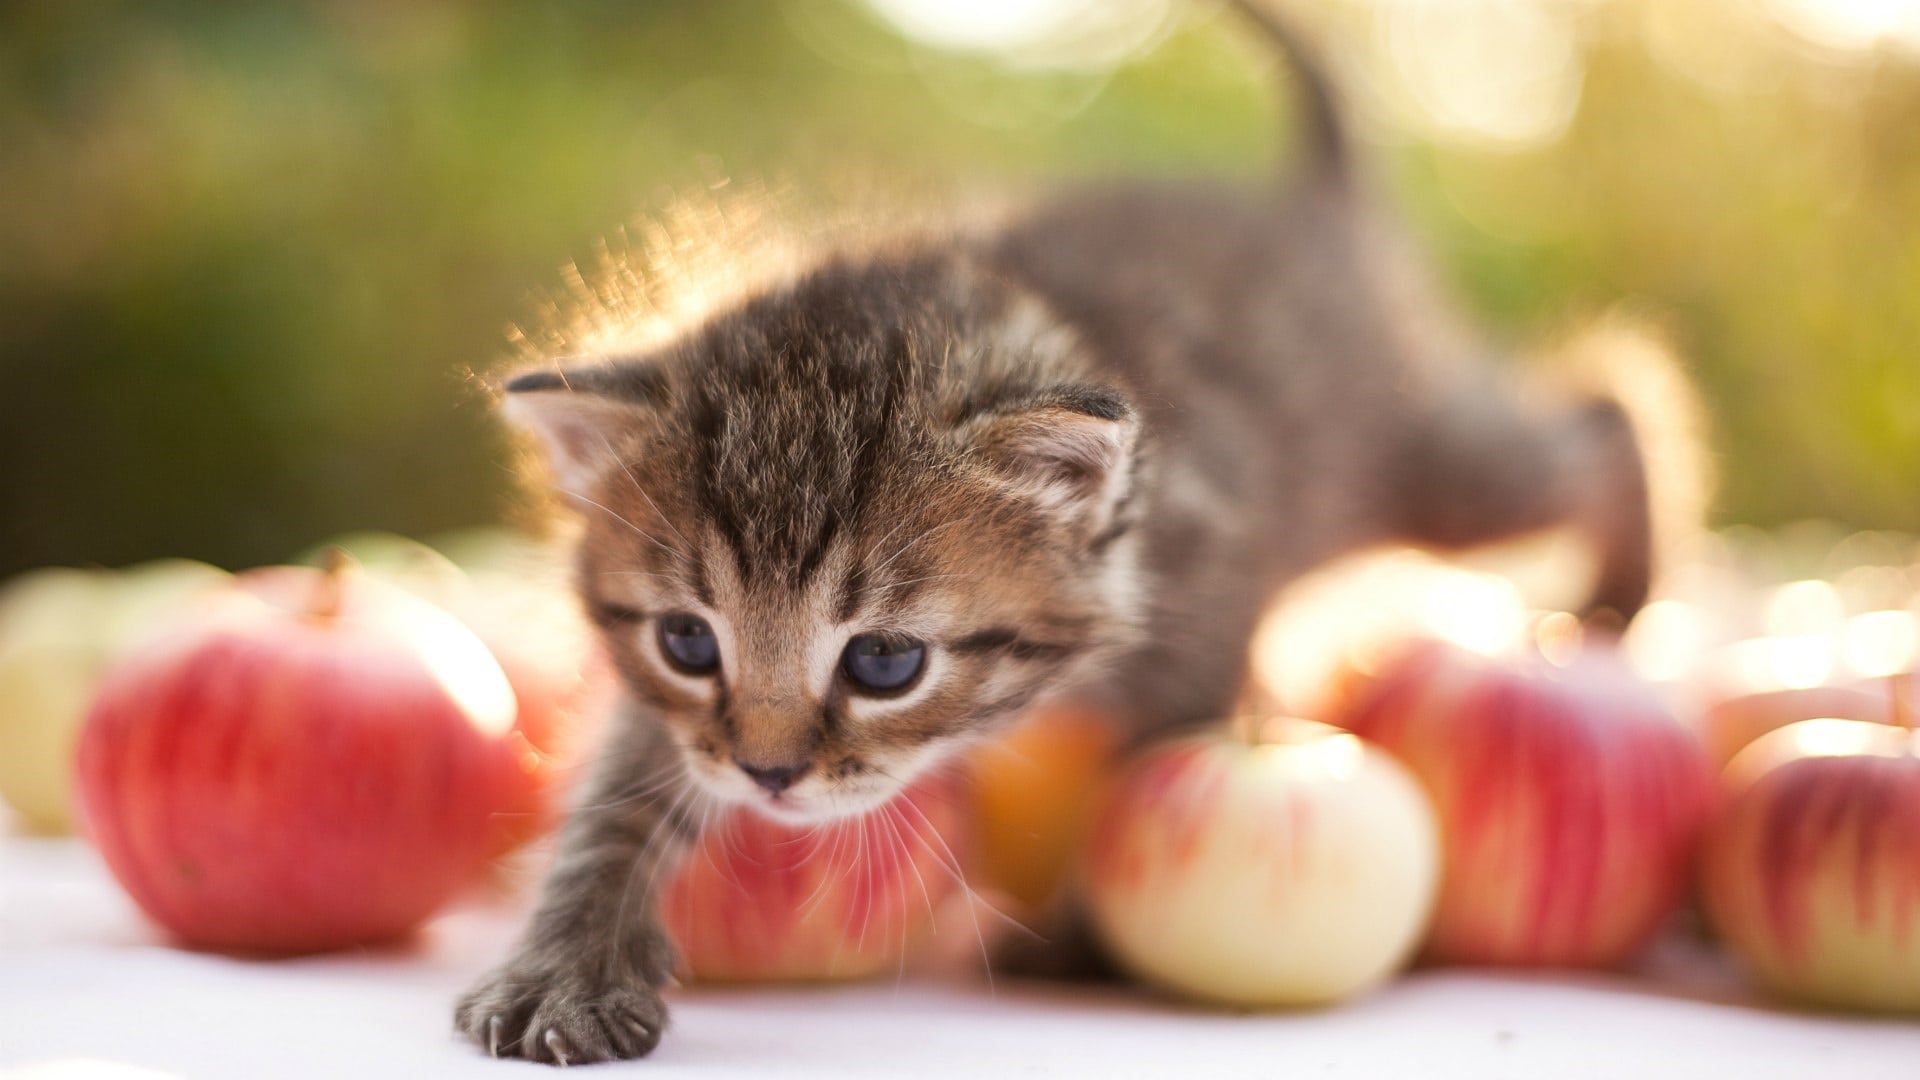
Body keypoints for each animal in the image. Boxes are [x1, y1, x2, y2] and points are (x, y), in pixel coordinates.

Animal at [456, 0, 1658, 1060]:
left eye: (885, 662)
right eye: (688, 643)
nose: (768, 777)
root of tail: (1312, 206)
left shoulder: (1206, 617)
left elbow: (1140, 773)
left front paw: (1083, 936)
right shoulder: (673, 711)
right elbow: (618, 796)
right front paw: (562, 965)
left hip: (1432, 471)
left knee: (1600, 411)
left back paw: (1622, 593)